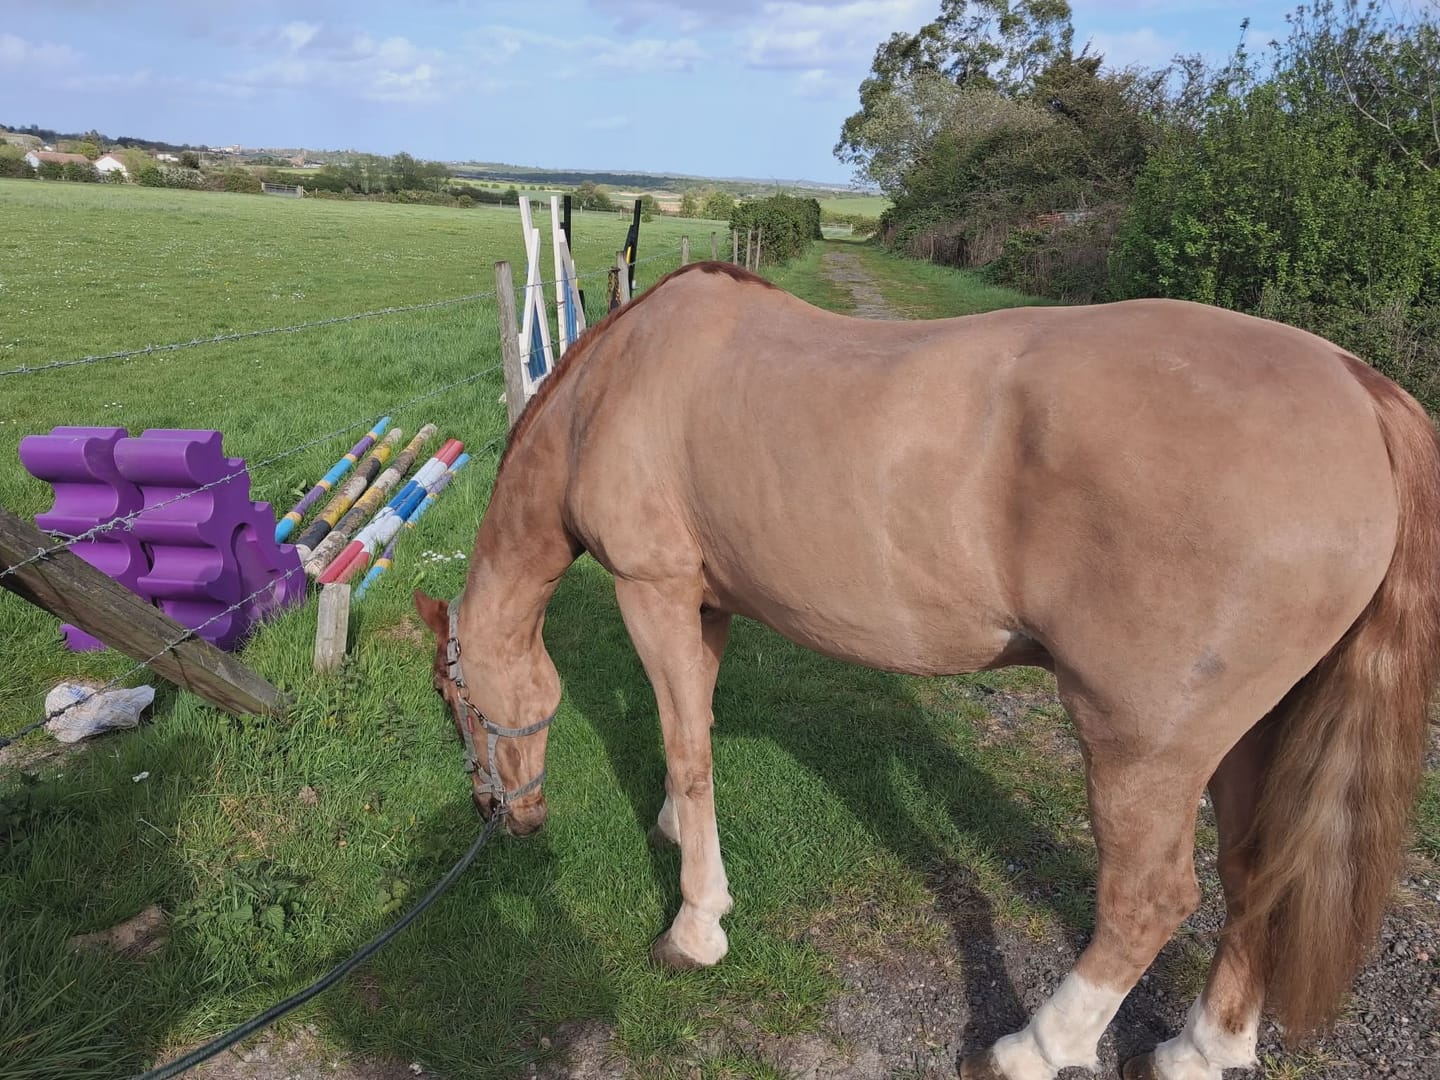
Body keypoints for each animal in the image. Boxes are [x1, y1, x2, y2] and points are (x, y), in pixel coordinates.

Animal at [414, 261, 1440, 1080]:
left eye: (450, 695)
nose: (499, 813)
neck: (614, 388)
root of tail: (1359, 389)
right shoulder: (706, 606)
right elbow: (690, 727)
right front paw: (673, 832)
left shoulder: (654, 590)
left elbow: (688, 753)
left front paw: (697, 927)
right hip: (1250, 732)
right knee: (1256, 873)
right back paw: (1204, 1049)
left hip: (1146, 743)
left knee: (1149, 898)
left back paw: (1033, 1047)